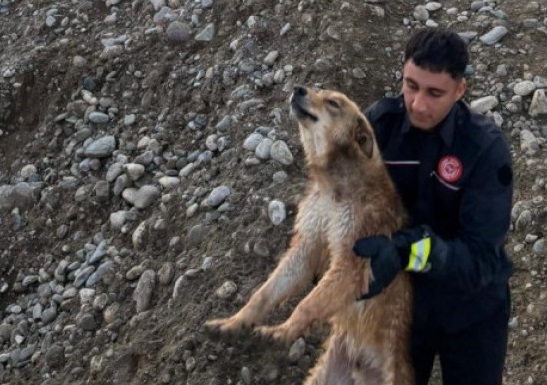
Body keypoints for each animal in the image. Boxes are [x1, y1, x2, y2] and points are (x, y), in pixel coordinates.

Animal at [208, 87, 414, 384]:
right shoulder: (307, 245)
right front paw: (233, 322)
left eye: (333, 103)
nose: (298, 89)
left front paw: (281, 331)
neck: (335, 185)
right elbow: (264, 294)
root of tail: (361, 364)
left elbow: (307, 304)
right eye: (319, 91)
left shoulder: (351, 262)